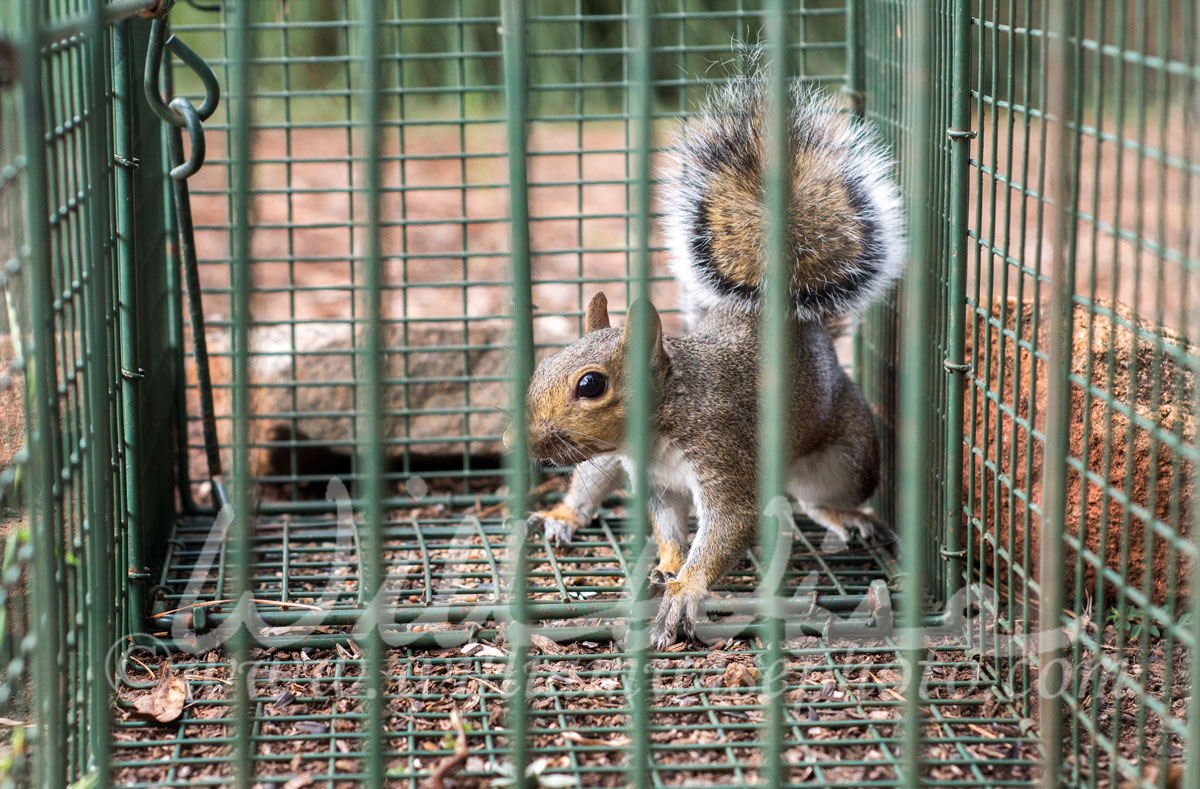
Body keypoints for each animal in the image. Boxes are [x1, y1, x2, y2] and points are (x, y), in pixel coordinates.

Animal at [513, 69, 902, 647]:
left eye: (590, 385)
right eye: (542, 365)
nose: (519, 441)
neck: (664, 419)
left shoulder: (722, 454)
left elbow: (728, 525)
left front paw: (685, 590)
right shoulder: (654, 480)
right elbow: (670, 529)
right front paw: (668, 567)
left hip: (850, 455)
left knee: (817, 495)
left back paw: (842, 512)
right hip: (601, 456)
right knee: (593, 480)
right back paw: (565, 512)